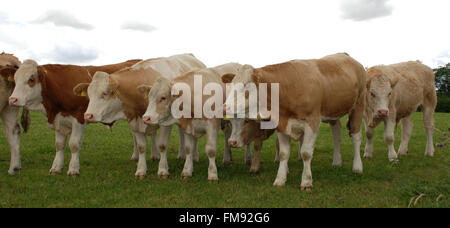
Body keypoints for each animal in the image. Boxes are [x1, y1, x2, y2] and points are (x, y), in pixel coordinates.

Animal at [6, 58, 141, 175]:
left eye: (31, 79)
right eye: (15, 80)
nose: (12, 100)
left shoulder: (79, 118)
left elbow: (74, 145)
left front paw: (73, 169)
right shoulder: (60, 120)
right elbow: (59, 145)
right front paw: (56, 167)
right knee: (135, 136)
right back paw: (135, 156)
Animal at [74, 54, 207, 179]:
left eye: (104, 93)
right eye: (89, 94)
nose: (88, 115)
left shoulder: (165, 123)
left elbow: (162, 145)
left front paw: (163, 170)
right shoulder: (135, 121)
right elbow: (141, 147)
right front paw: (141, 171)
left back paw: (194, 156)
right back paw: (181, 155)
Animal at [221, 53, 366, 191]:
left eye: (246, 85)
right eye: (231, 85)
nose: (225, 107)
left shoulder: (312, 121)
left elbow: (306, 153)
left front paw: (306, 182)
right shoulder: (281, 124)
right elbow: (284, 153)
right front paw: (280, 179)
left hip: (358, 105)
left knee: (356, 136)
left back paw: (357, 167)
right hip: (334, 112)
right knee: (337, 135)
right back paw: (337, 162)